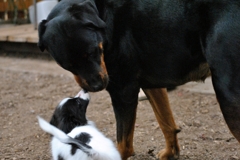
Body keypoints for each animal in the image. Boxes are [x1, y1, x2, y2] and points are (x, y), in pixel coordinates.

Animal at [38, 0, 240, 159]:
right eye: (68, 65)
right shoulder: (152, 86)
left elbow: (123, 144)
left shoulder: (123, 92)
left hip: (227, 94)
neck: (103, 16)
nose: (96, 86)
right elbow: (167, 123)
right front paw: (170, 154)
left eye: (93, 51)